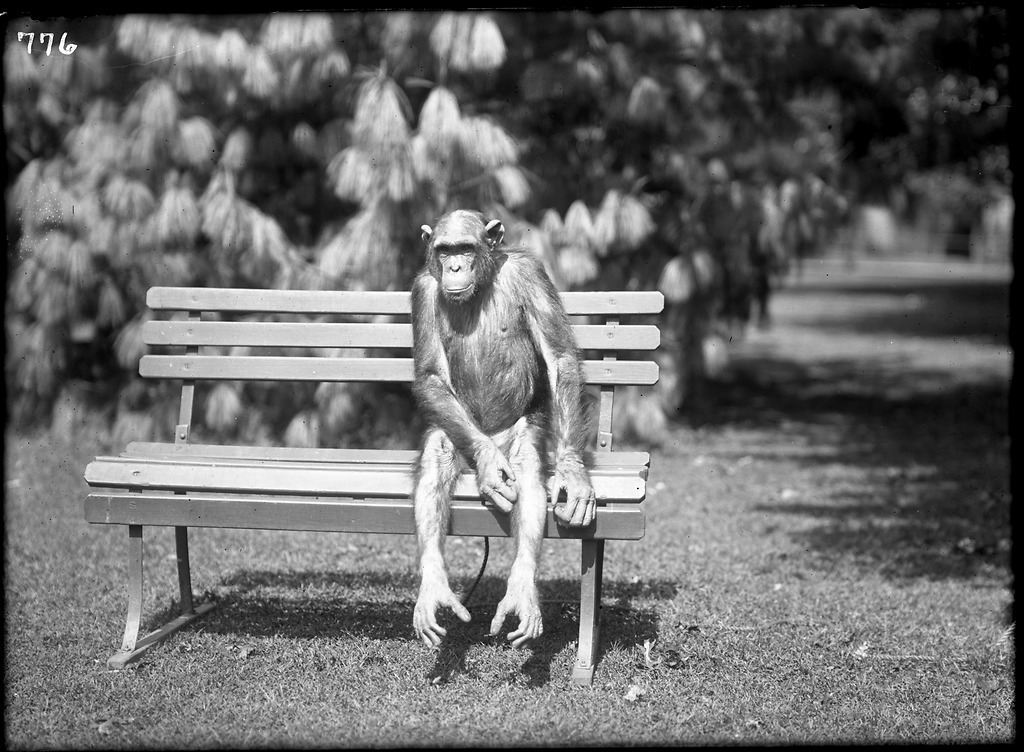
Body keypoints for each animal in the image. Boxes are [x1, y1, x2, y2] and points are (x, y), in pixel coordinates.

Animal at [411, 209, 598, 651]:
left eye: (465, 248)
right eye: (444, 251)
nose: (454, 267)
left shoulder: (531, 273)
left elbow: (559, 357)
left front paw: (572, 471)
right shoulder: (423, 290)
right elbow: (430, 375)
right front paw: (489, 466)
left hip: (520, 433)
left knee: (526, 468)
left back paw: (521, 591)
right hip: (460, 434)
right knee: (438, 456)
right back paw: (434, 587)